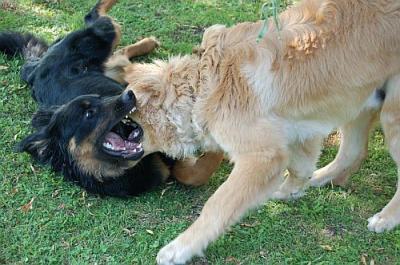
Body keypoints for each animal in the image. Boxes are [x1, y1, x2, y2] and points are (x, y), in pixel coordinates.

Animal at [0, 0, 222, 196]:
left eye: (99, 97)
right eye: (89, 113)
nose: (130, 94)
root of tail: (37, 67)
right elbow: (192, 175)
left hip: (103, 39)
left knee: (96, 17)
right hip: (108, 52)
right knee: (111, 41)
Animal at [122, 0, 400, 262]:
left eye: (126, 120)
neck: (202, 86)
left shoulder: (262, 155)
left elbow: (218, 204)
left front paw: (180, 249)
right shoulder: (298, 129)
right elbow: (300, 166)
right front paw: (291, 190)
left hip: (392, 115)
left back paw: (386, 218)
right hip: (360, 100)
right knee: (354, 151)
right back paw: (323, 177)